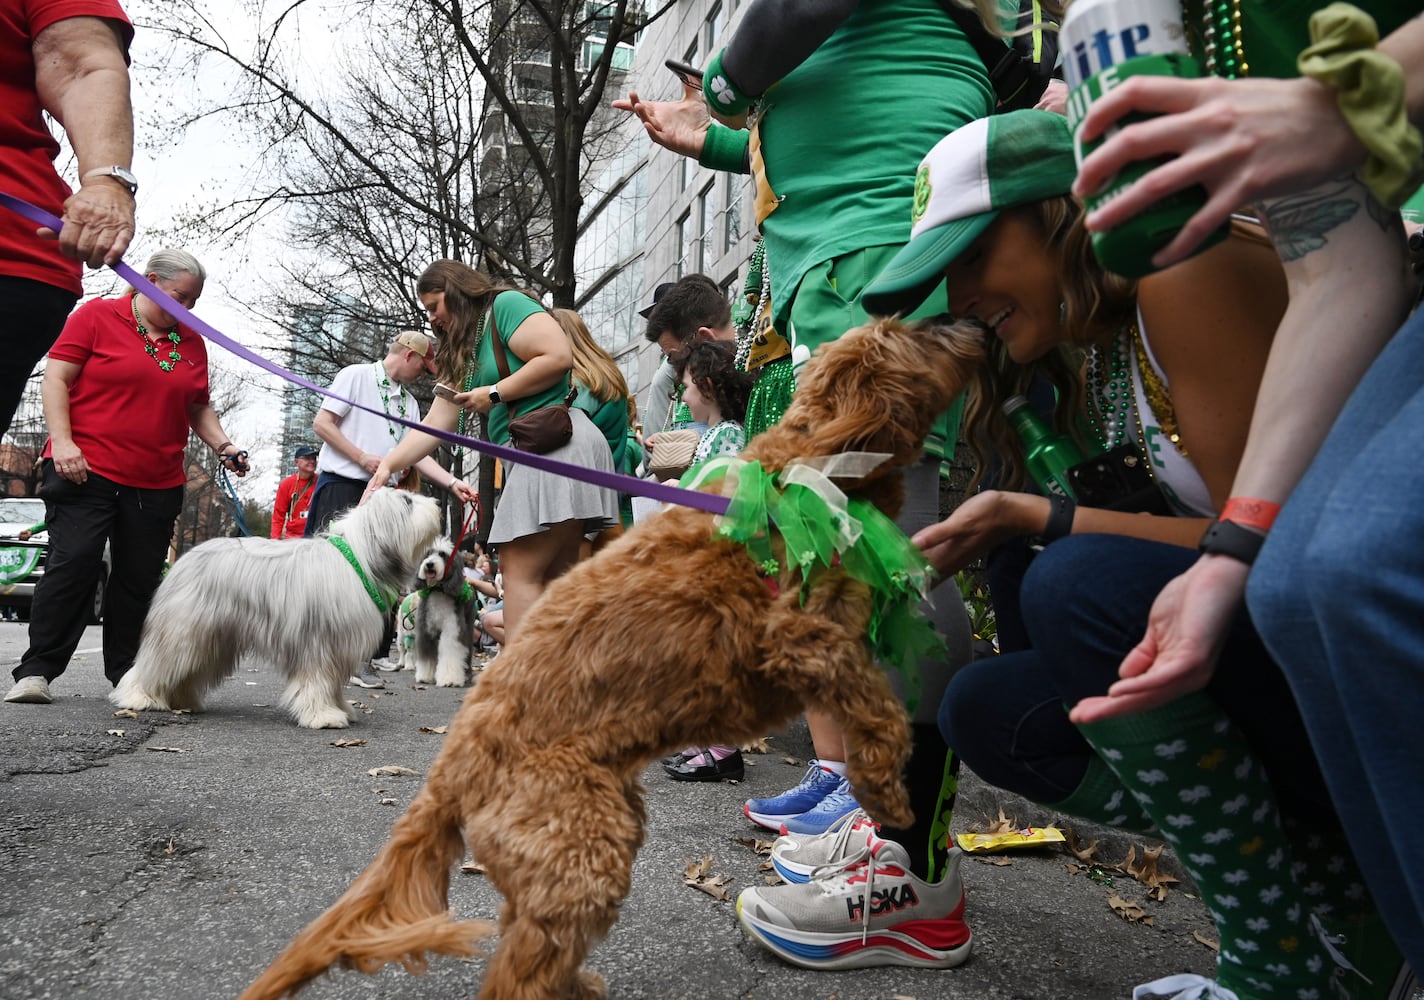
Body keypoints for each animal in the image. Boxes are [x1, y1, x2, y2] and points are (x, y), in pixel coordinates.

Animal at [113, 492, 438, 729]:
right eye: (408, 501)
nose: (437, 504)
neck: (359, 556)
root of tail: (181, 561)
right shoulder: (320, 645)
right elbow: (317, 683)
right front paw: (323, 716)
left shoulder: (339, 647)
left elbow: (333, 686)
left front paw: (341, 709)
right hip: (183, 633)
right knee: (153, 665)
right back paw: (138, 697)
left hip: (213, 641)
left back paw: (183, 702)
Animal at [410, 541, 481, 689]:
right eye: (428, 553)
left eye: (442, 554)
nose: (429, 564)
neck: (438, 590)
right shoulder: (426, 630)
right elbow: (427, 655)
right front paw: (426, 677)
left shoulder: (452, 629)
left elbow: (450, 653)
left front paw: (450, 679)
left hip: (469, 627)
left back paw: (466, 675)